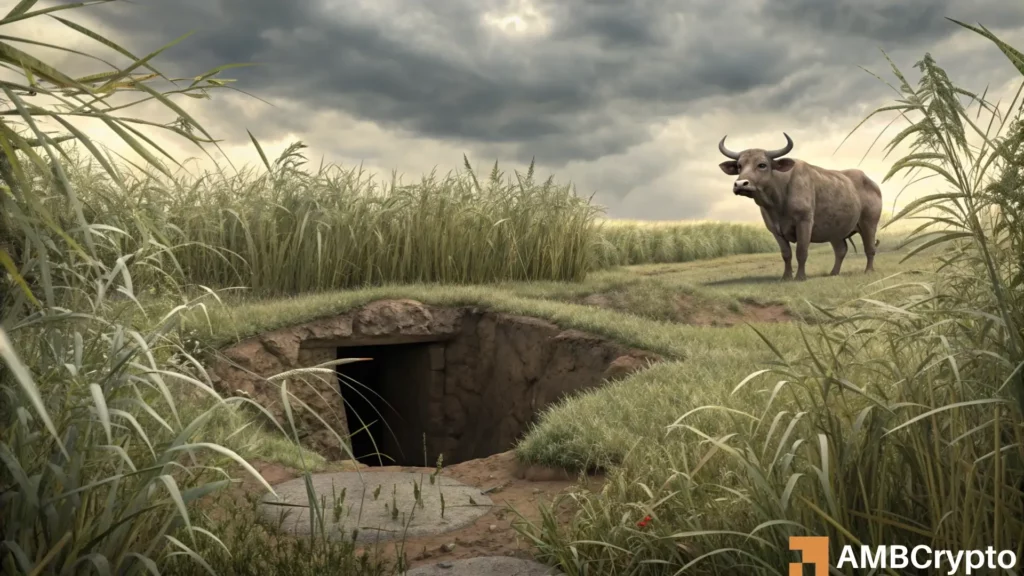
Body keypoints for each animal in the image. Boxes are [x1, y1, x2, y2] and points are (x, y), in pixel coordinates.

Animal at [717, 133, 883, 281]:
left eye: (762, 165)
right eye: (739, 166)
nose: (740, 184)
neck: (777, 204)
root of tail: (872, 183)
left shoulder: (804, 222)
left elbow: (801, 251)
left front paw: (800, 277)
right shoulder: (774, 229)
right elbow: (786, 254)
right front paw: (786, 277)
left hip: (869, 224)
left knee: (870, 248)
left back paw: (868, 270)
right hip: (835, 230)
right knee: (841, 250)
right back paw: (833, 273)